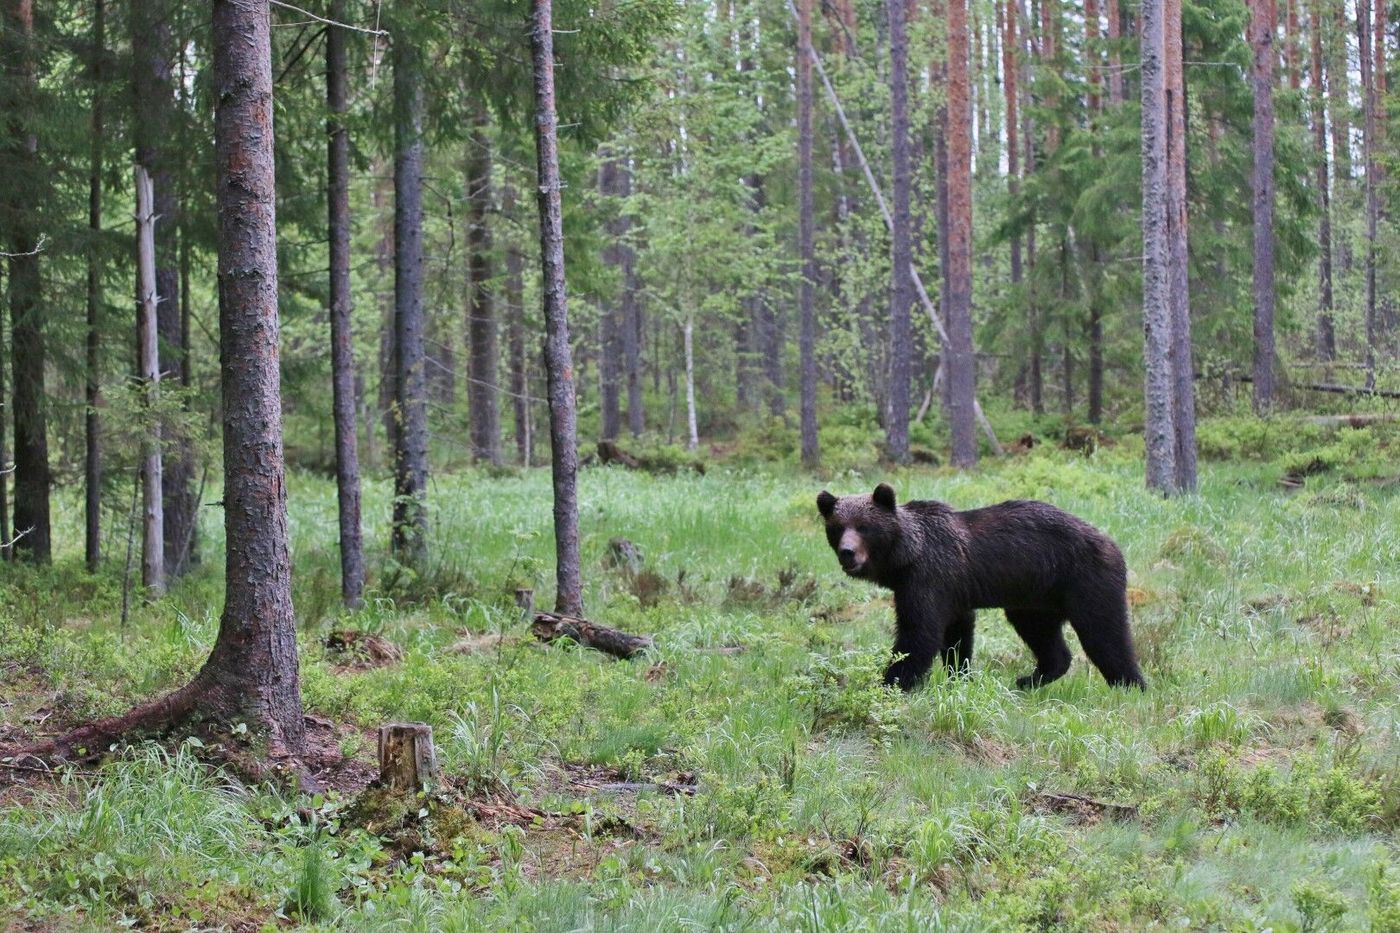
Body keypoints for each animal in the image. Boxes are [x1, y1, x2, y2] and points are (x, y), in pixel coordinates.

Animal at [817, 481, 1142, 686]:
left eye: (864, 527)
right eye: (837, 527)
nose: (848, 553)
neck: (905, 558)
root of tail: (1112, 542)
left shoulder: (929, 578)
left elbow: (919, 633)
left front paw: (891, 681)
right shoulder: (951, 592)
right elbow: (957, 634)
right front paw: (959, 675)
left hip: (1086, 581)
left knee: (1105, 634)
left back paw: (1130, 684)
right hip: (1034, 598)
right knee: (1043, 635)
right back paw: (1029, 679)